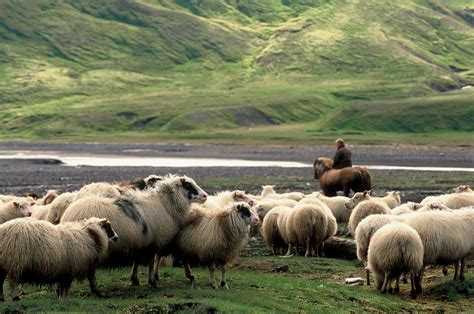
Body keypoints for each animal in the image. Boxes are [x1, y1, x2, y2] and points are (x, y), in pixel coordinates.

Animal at [59, 175, 207, 288]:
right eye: (188, 185)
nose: (205, 196)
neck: (165, 204)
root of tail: (69, 213)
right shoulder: (153, 241)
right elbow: (151, 261)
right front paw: (152, 282)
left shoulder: (140, 239)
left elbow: (137, 260)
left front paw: (135, 279)